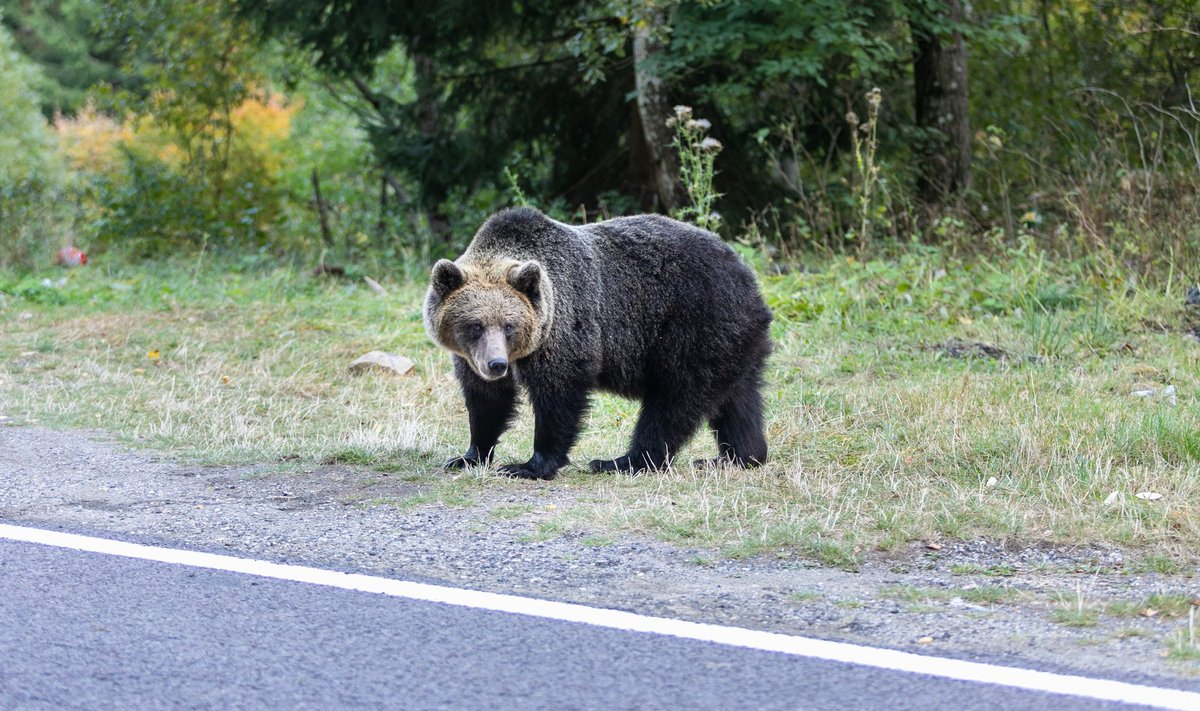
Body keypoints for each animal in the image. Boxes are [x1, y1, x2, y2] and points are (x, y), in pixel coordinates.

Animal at [427, 207, 772, 480]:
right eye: (475, 325)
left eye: (509, 326)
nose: (496, 365)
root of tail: (748, 277)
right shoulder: (472, 357)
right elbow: (486, 400)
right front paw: (468, 456)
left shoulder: (564, 325)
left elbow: (559, 393)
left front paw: (529, 465)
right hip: (735, 342)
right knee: (739, 400)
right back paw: (738, 456)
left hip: (693, 327)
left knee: (674, 401)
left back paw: (623, 461)